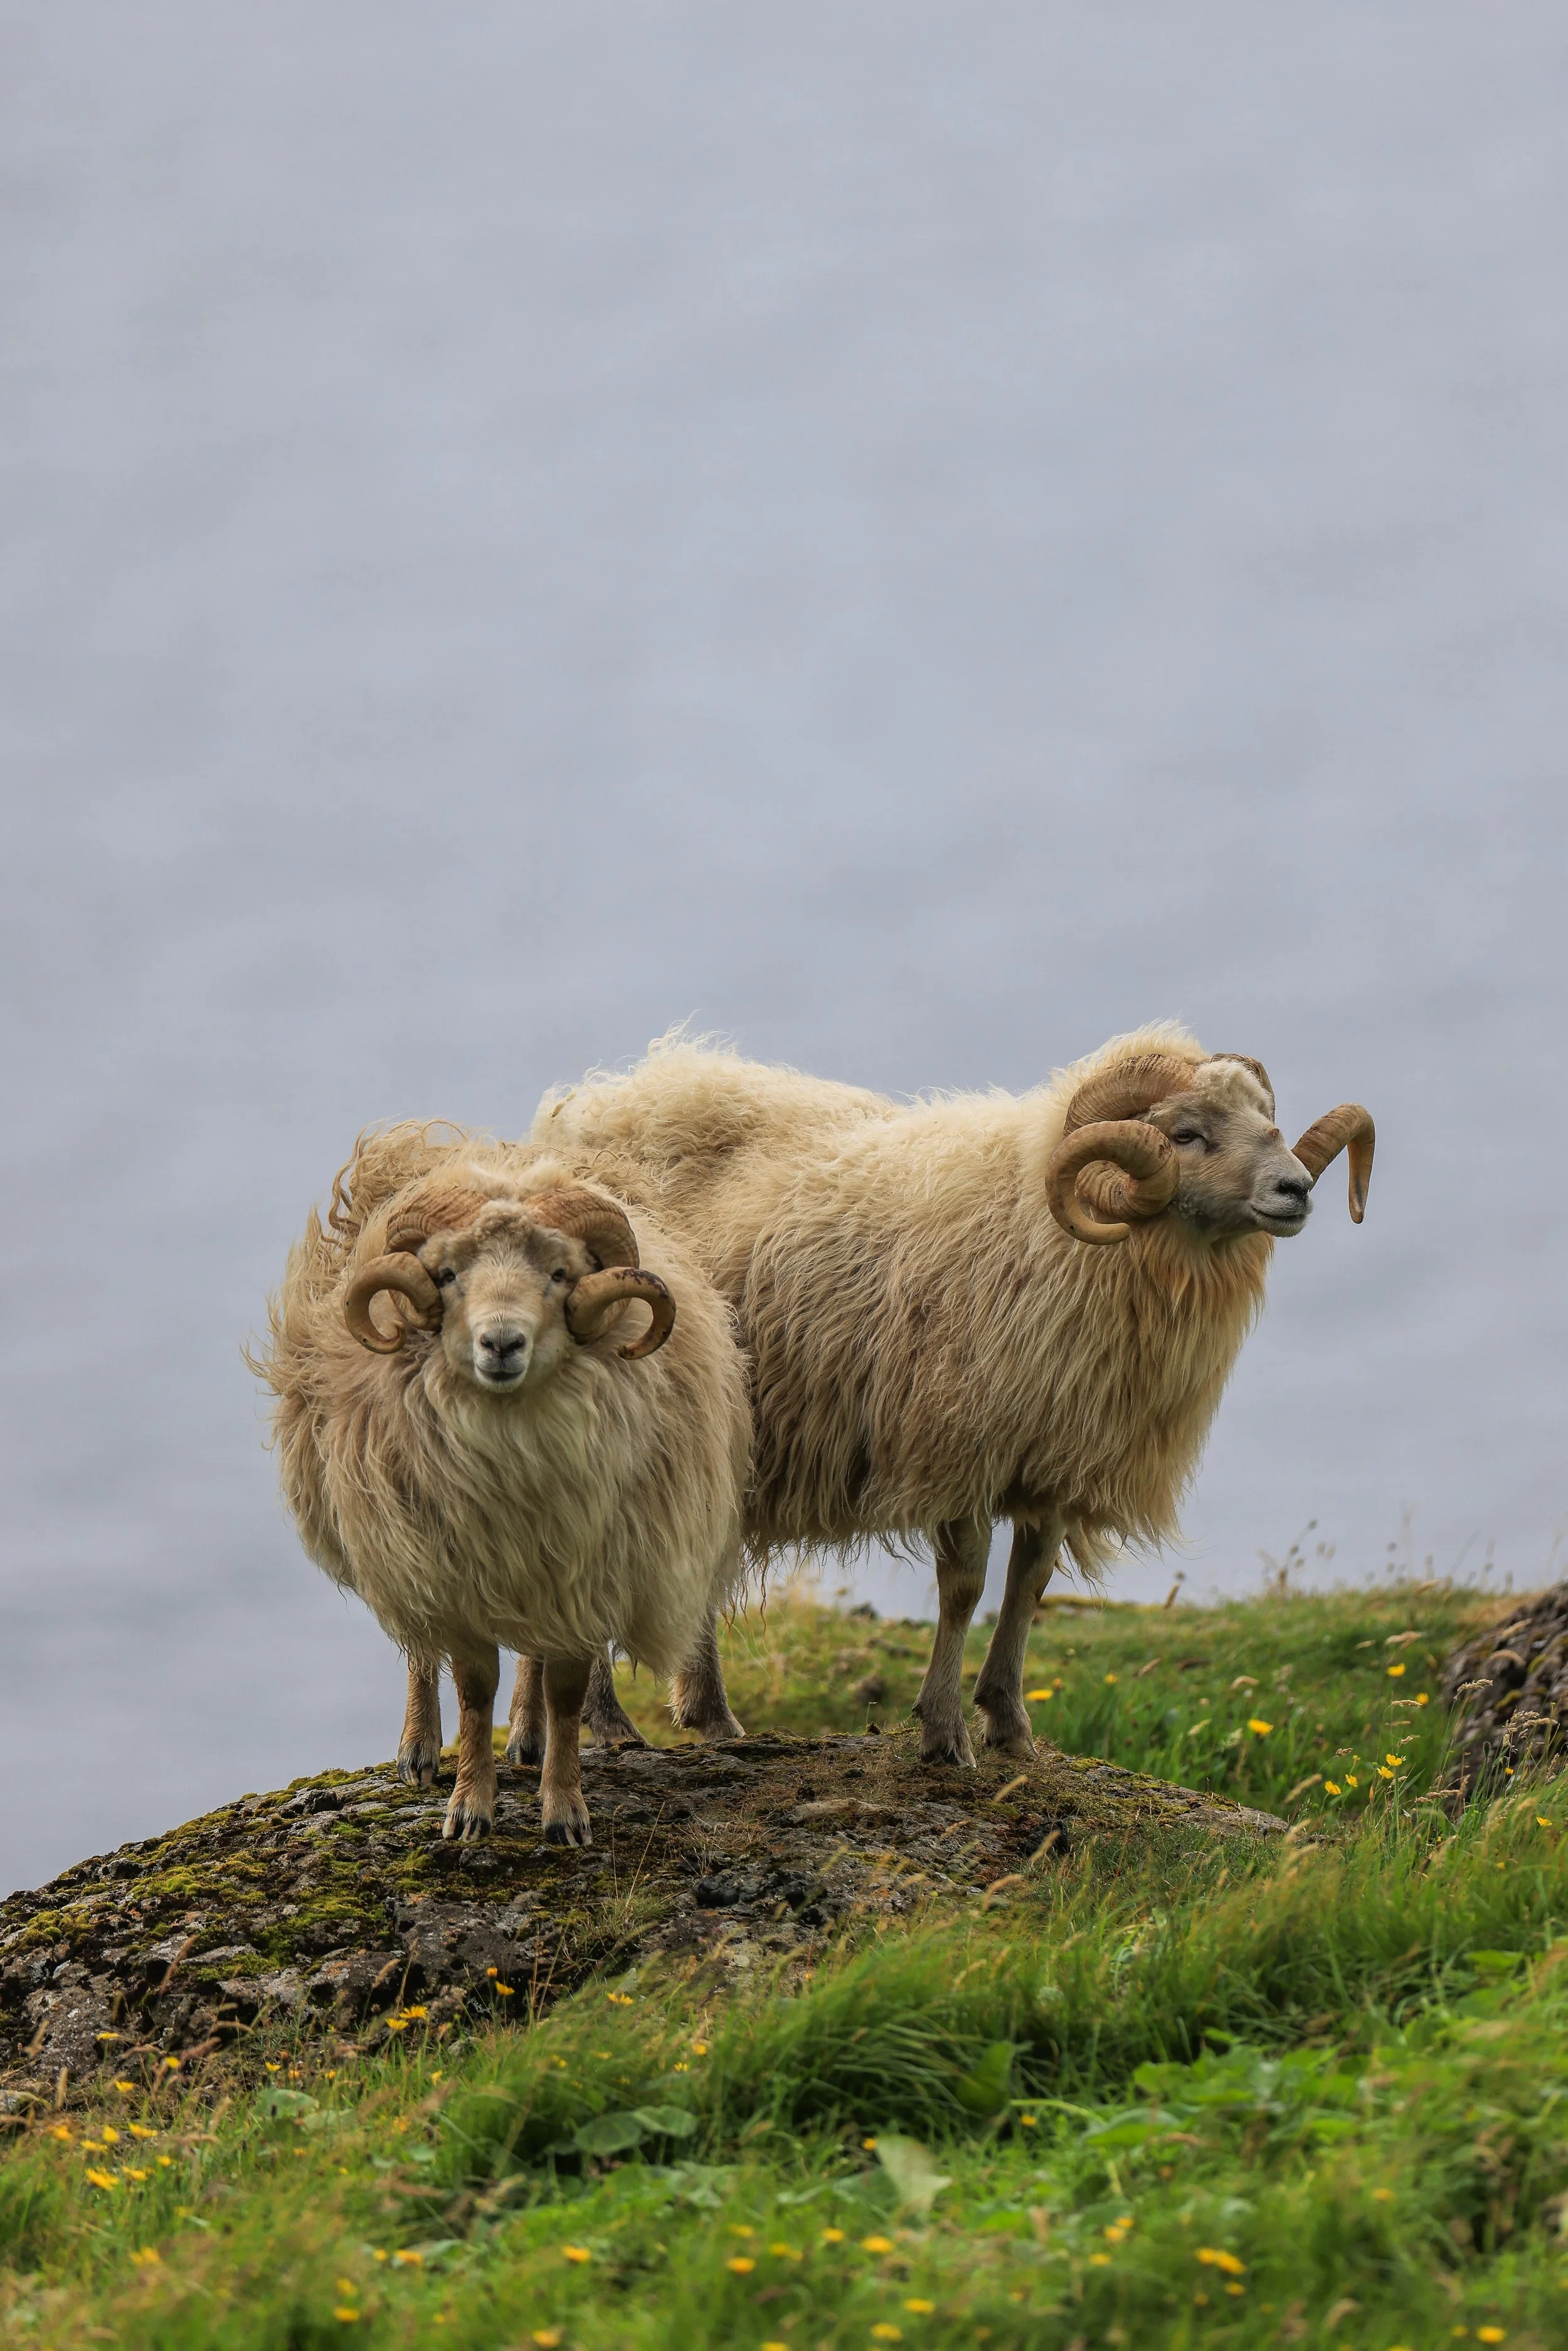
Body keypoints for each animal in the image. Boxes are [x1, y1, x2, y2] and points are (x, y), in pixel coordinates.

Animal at [256, 1127, 749, 1842]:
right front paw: (469, 1807)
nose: (500, 1343)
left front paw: (564, 1809)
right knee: (419, 1650)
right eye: (447, 1275)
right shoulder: (453, 1574)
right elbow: (471, 1686)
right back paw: (419, 1749)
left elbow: (565, 1691)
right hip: (396, 1539)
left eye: (560, 1274)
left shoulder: (583, 1578)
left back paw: (528, 1739)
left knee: (531, 1663)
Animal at [534, 1026, 1374, 1766]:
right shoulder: (958, 1442)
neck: (1050, 1227)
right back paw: (611, 1724)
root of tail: (583, 1112)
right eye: (1189, 1132)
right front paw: (943, 1732)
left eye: (1267, 1120)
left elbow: (1029, 1583)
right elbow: (965, 1586)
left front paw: (1010, 1725)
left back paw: (710, 1716)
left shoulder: (1053, 1456)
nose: (1295, 1189)